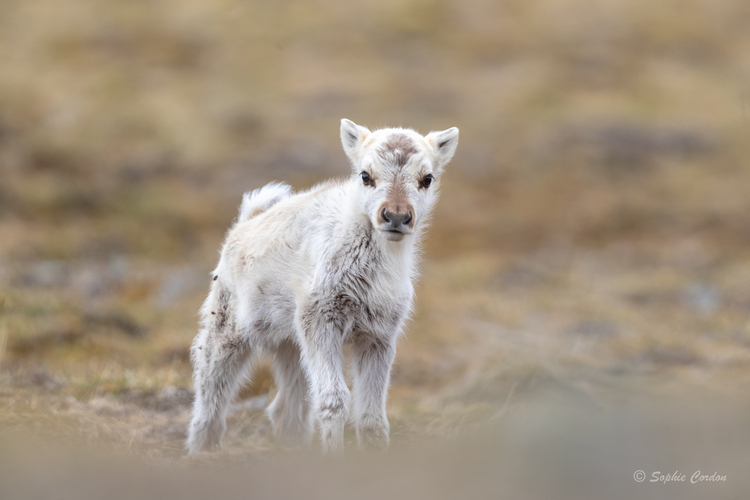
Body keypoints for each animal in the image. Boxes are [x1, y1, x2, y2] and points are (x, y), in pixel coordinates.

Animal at [188, 120, 458, 454]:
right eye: (365, 175)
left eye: (427, 178)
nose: (396, 216)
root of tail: (243, 224)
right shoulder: (321, 321)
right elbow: (334, 400)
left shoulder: (378, 335)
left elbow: (372, 417)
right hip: (227, 329)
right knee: (210, 392)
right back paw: (201, 450)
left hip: (290, 344)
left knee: (286, 408)